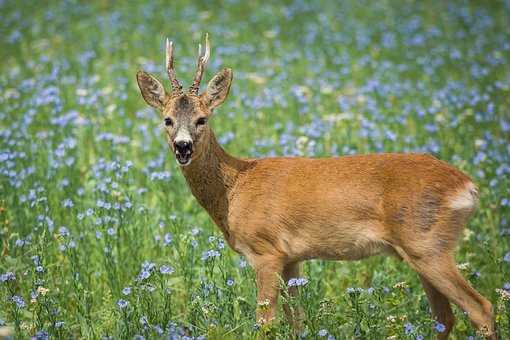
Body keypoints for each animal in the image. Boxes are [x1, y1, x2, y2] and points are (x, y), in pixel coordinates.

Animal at [135, 34, 494, 338]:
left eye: (202, 119)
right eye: (167, 119)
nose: (183, 147)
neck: (234, 190)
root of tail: (468, 186)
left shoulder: (265, 250)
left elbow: (265, 323)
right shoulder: (292, 257)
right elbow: (297, 321)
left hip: (427, 244)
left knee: (481, 308)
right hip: (422, 251)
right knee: (444, 318)